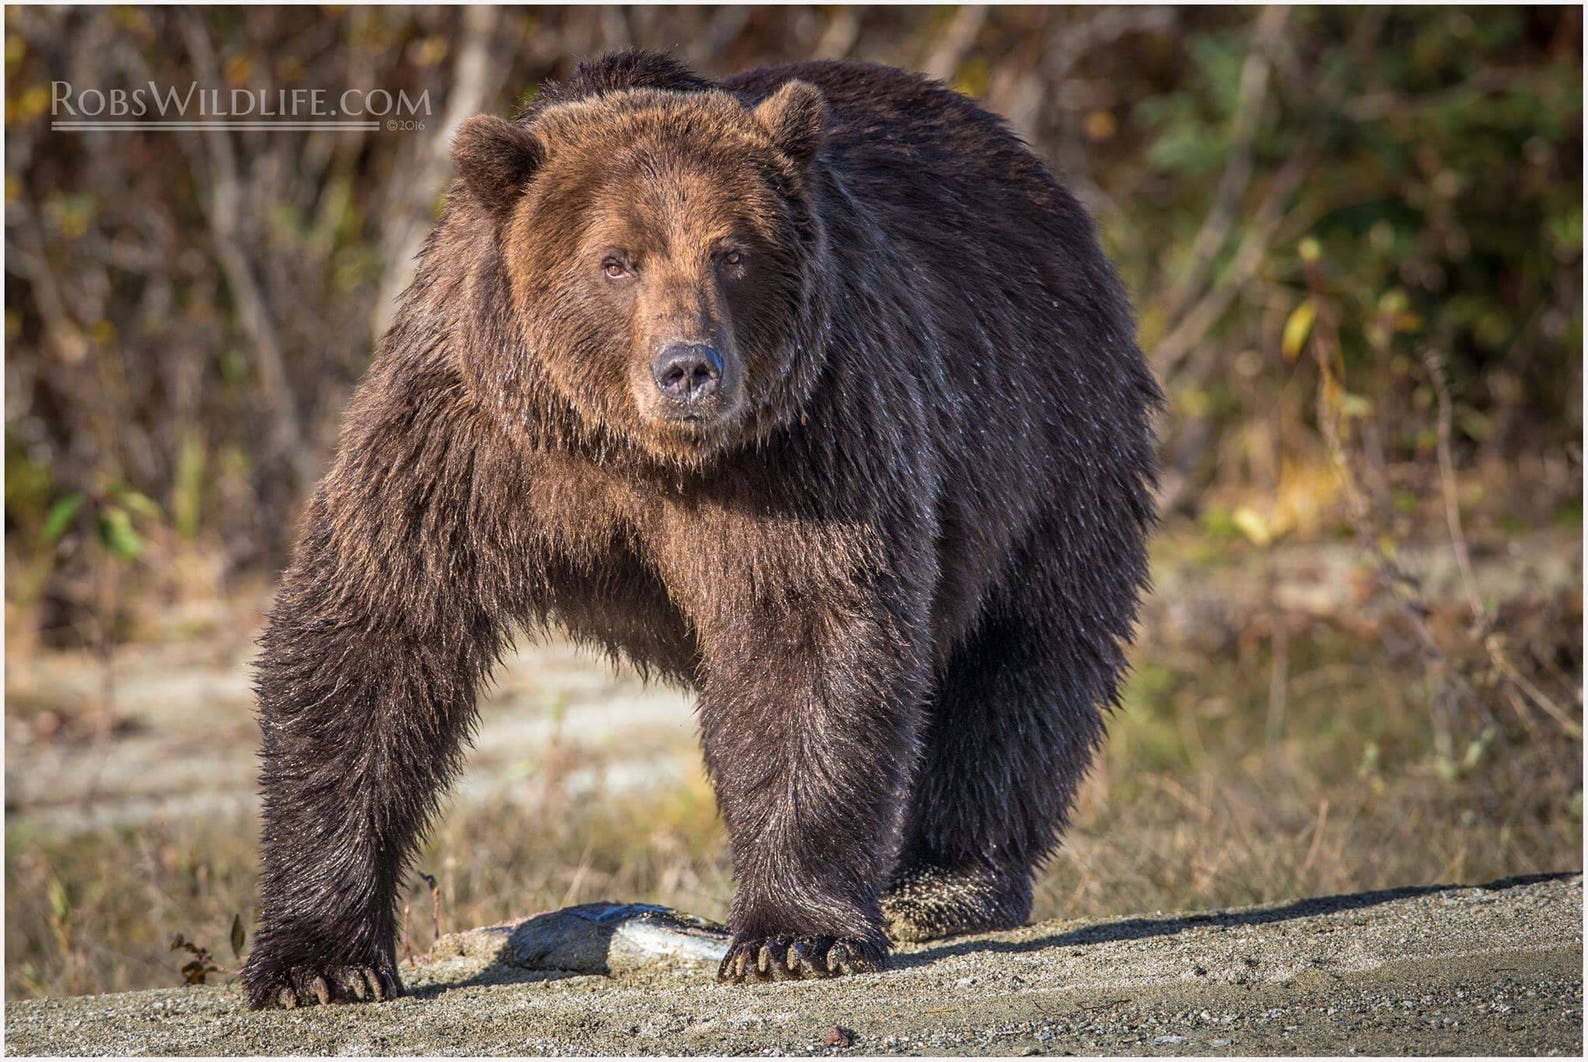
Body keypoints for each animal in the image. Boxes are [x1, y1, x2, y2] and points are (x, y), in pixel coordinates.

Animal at [238, 51, 1156, 1009]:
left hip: (1046, 426)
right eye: (616, 261)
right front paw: (318, 961)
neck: (630, 451)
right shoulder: (468, 434)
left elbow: (806, 635)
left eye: (733, 253)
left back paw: (947, 881)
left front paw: (794, 934)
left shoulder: (804, 441)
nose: (688, 368)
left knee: (1025, 650)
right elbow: (376, 627)